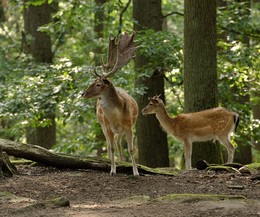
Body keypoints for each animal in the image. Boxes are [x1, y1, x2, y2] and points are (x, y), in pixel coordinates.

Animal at [82, 32, 139, 176]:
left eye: (98, 84)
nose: (83, 93)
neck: (116, 118)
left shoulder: (129, 126)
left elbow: (131, 149)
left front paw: (135, 172)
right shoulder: (108, 127)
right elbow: (111, 147)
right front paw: (112, 170)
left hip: (121, 130)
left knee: (118, 143)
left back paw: (123, 162)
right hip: (102, 124)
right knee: (109, 144)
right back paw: (109, 161)